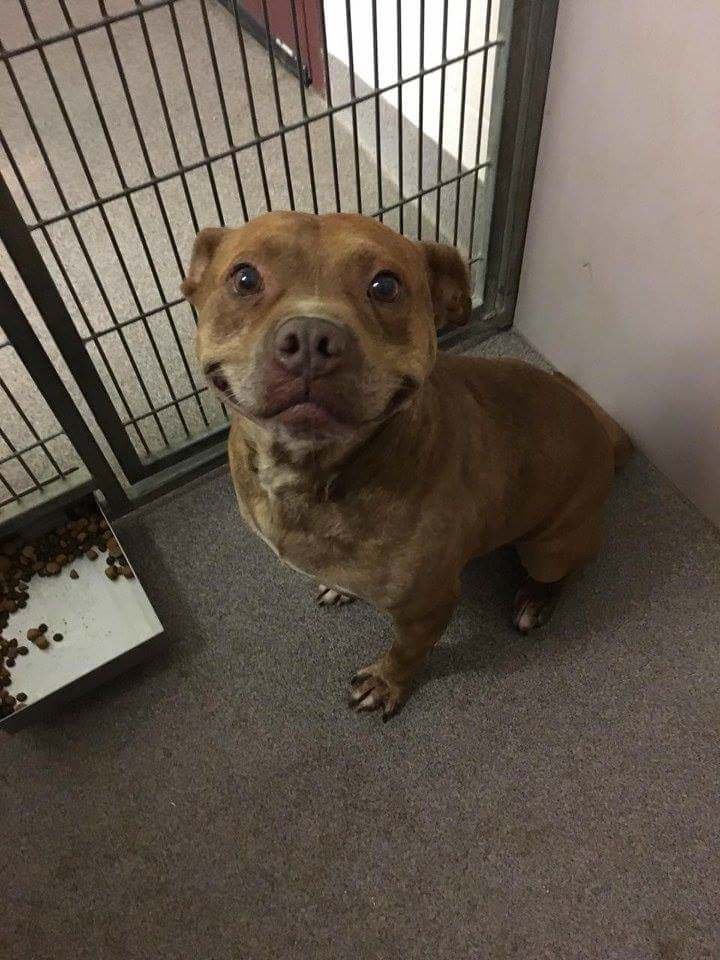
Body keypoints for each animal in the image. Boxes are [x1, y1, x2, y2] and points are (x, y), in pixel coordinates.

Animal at [183, 211, 631, 721]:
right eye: (244, 278)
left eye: (385, 286)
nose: (312, 338)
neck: (316, 475)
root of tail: (603, 435)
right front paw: (340, 587)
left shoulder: (428, 606)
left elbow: (406, 652)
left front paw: (385, 682)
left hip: (551, 546)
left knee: (568, 568)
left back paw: (537, 599)